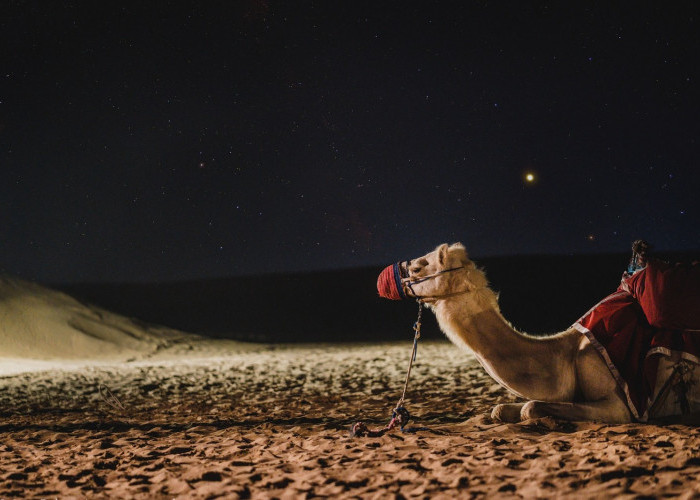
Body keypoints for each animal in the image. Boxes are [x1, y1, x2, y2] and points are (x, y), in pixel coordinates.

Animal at [392, 244, 696, 424]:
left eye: (419, 266)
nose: (396, 274)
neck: (565, 354)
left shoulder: (621, 404)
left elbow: (530, 407)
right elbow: (499, 409)